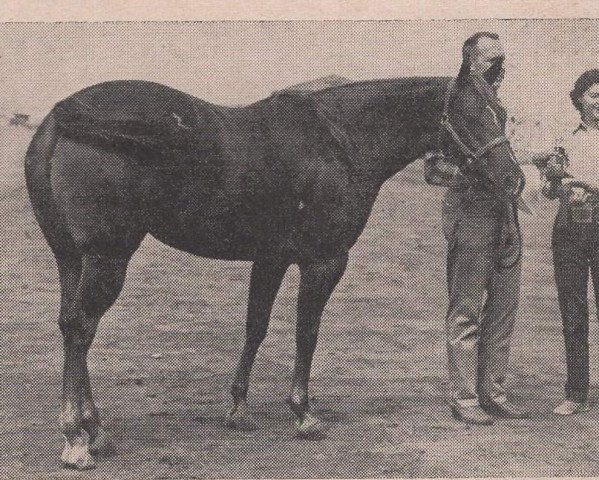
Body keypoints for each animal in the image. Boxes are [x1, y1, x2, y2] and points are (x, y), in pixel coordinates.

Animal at [24, 77, 520, 470]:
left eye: (501, 114)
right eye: (470, 115)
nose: (514, 180)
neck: (340, 139)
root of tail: (59, 118)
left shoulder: (271, 258)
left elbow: (256, 327)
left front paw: (239, 410)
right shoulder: (324, 260)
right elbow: (306, 332)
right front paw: (304, 415)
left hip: (72, 259)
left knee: (71, 325)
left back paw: (95, 430)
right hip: (107, 258)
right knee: (81, 328)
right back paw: (76, 440)